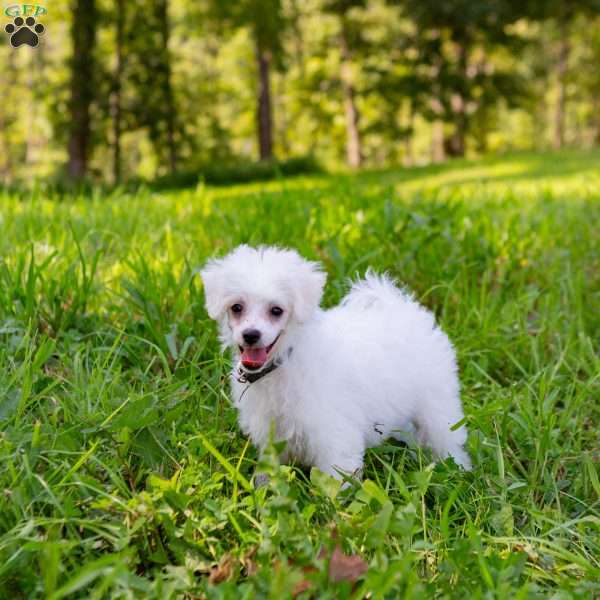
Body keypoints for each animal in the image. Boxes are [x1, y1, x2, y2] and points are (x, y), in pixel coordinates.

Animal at [204, 244, 472, 478]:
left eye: (276, 310)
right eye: (236, 307)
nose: (251, 335)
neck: (286, 359)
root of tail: (401, 306)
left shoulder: (334, 433)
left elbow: (336, 479)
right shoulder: (272, 434)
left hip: (437, 404)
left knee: (446, 437)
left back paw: (458, 469)